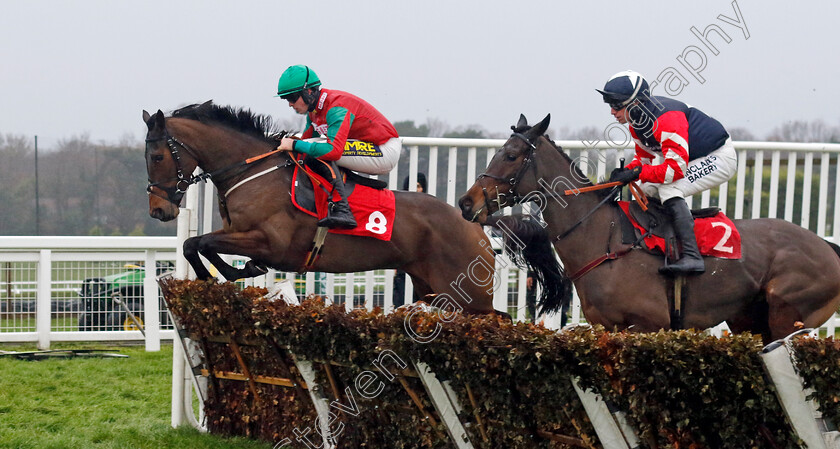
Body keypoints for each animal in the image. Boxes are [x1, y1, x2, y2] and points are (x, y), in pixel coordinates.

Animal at [144, 100, 552, 316]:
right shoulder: (238, 233)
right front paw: (232, 271)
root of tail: (474, 222)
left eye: (157, 155)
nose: (158, 210)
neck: (253, 170)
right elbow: (195, 244)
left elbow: (200, 244)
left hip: (465, 294)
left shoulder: (272, 242)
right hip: (433, 291)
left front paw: (229, 272)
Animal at [456, 114, 840, 342]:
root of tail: (827, 247)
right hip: (749, 320)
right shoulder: (606, 327)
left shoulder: (649, 325)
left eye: (510, 156)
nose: (466, 202)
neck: (603, 238)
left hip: (789, 317)